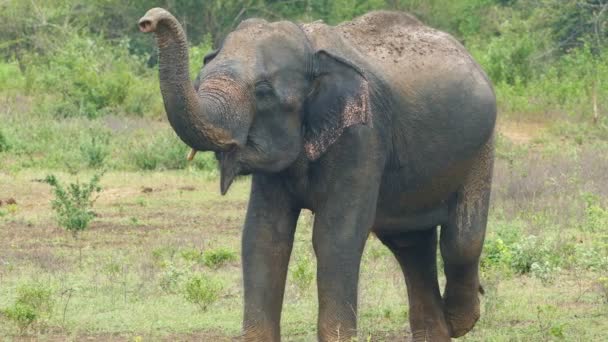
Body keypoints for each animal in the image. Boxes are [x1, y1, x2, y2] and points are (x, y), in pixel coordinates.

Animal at [140, 6, 496, 340]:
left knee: (460, 239)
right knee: (410, 243)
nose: (148, 20)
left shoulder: (362, 136)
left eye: (263, 91)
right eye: (200, 78)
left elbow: (334, 236)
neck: (311, 48)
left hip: (481, 147)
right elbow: (263, 236)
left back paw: (461, 320)